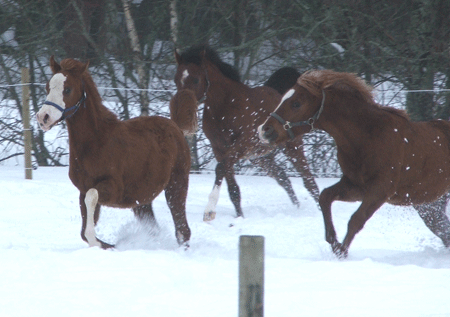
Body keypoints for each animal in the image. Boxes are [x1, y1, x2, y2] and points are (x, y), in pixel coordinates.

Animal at [37, 57, 192, 249]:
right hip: (141, 200)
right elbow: (83, 231)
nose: (43, 117)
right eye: (47, 87)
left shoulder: (113, 189)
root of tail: (176, 127)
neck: (96, 142)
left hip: (176, 184)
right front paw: (107, 245)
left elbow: (91, 200)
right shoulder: (83, 190)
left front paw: (106, 243)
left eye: (67, 89)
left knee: (182, 229)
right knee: (155, 228)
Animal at [173, 45, 320, 221]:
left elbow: (220, 169)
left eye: (196, 79)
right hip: (260, 158)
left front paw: (209, 211)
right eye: (175, 79)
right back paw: (297, 207)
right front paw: (239, 217)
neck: (226, 106)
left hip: (292, 148)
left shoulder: (241, 145)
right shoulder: (220, 149)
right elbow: (233, 188)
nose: (181, 112)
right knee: (283, 178)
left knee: (309, 181)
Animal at [258, 69, 450, 256]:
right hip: (429, 204)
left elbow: (356, 219)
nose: (264, 130)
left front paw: (342, 252)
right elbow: (325, 197)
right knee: (441, 229)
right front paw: (334, 243)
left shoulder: (380, 190)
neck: (366, 136)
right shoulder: (355, 186)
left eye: (296, 103)